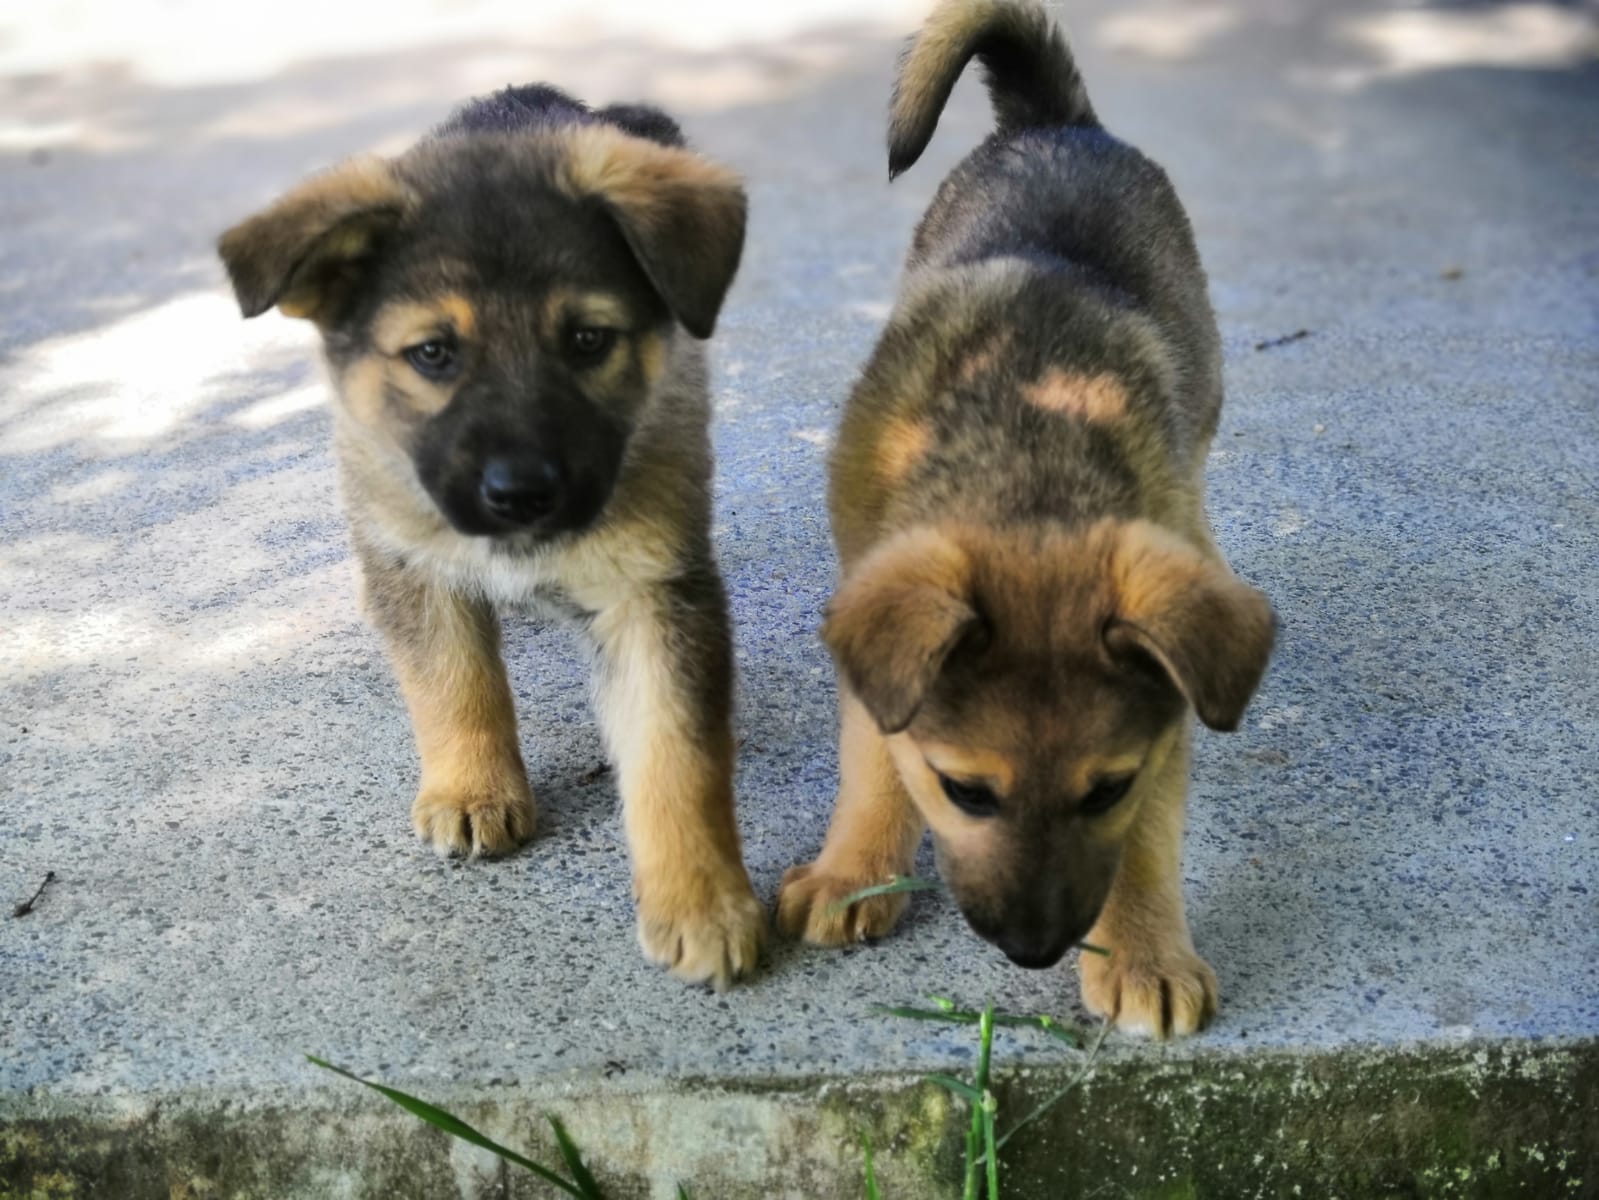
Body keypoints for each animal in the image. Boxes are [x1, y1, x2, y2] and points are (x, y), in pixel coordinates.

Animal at [217, 85, 765, 988]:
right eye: (433, 353)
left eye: (586, 340)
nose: (521, 495)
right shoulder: (414, 565)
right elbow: (452, 683)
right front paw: (473, 790)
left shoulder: (652, 591)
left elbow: (675, 756)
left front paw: (704, 901)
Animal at [776, 0, 1276, 1037]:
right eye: (965, 791)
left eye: (1107, 788)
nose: (1035, 952)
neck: (1027, 449)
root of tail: (1057, 122)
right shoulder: (875, 612)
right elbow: (873, 760)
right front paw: (854, 875)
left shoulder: (1160, 722)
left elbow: (1151, 834)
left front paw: (1144, 953)